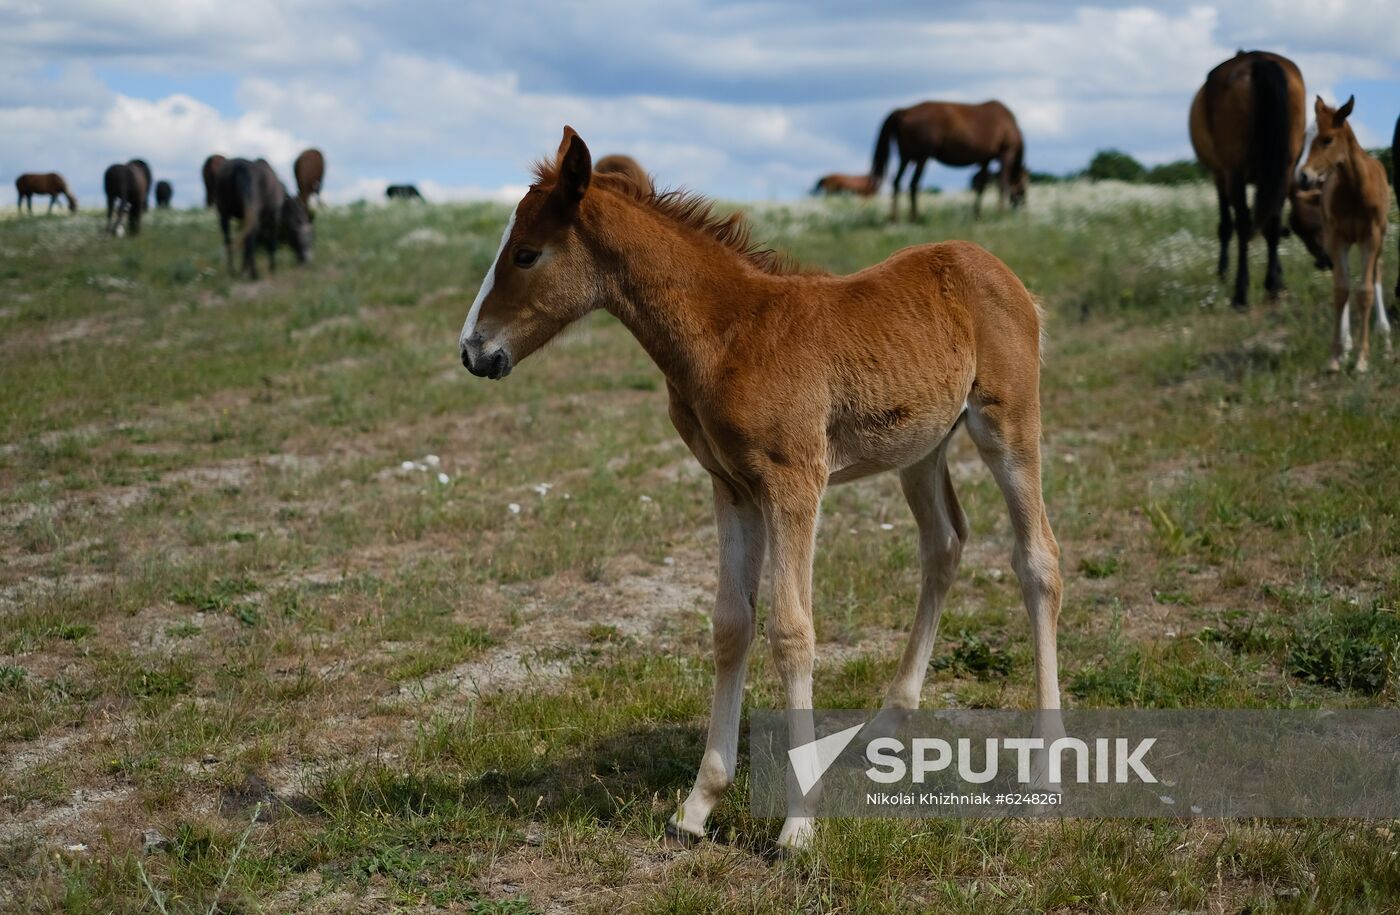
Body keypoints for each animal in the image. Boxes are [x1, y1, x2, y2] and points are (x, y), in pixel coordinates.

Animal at [458, 127, 1063, 851]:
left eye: (526, 253)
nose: (473, 351)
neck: (728, 334)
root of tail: (1000, 271)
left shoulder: (794, 482)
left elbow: (792, 631)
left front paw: (799, 824)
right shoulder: (731, 486)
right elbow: (731, 624)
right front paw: (697, 805)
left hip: (1009, 423)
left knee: (1038, 560)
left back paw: (1047, 769)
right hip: (919, 447)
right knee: (944, 545)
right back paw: (888, 725)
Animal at [870, 100, 1027, 221]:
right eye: (1023, 184)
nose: (1023, 204)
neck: (1010, 125)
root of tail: (905, 111)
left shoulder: (985, 159)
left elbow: (981, 187)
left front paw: (977, 215)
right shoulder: (1006, 154)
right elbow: (1002, 184)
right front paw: (1001, 213)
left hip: (907, 156)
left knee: (896, 182)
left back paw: (894, 218)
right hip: (922, 156)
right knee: (913, 183)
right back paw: (915, 218)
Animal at [1189, 50, 1305, 309]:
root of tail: (1257, 60)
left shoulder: (1220, 175)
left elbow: (1226, 226)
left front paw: (1222, 273)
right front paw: (1279, 278)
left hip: (1234, 171)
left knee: (1242, 223)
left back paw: (1240, 295)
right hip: (1283, 167)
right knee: (1271, 220)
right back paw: (1272, 287)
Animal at [1296, 96, 1392, 373]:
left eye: (1328, 139)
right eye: (1306, 138)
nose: (1303, 177)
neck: (1354, 189)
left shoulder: (1371, 237)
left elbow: (1366, 291)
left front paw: (1362, 359)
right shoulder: (1336, 238)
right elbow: (1341, 291)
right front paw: (1336, 356)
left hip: (1379, 238)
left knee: (1377, 272)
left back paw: (1385, 336)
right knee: (1346, 281)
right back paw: (1347, 343)